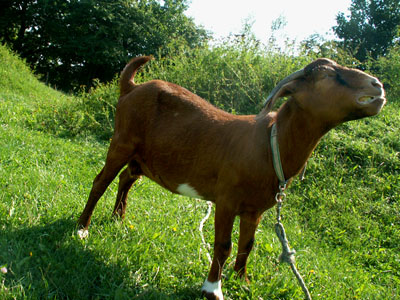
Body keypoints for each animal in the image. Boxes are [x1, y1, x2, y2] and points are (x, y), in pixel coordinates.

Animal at [76, 55, 386, 298]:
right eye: (326, 75)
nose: (377, 85)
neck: (270, 144)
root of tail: (132, 87)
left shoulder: (255, 209)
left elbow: (247, 245)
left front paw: (243, 281)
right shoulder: (226, 200)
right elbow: (223, 245)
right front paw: (213, 289)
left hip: (143, 157)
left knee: (127, 179)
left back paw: (118, 218)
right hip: (122, 141)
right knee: (100, 181)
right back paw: (82, 229)